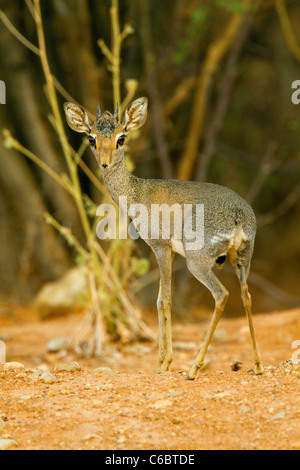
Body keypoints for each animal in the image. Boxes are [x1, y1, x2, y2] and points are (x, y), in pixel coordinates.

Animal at [63, 97, 262, 380]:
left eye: (121, 137)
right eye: (91, 138)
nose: (105, 163)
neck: (136, 193)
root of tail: (238, 215)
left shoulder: (159, 247)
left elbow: (165, 300)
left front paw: (165, 363)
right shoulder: (167, 251)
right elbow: (159, 301)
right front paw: (161, 362)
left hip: (198, 262)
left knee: (221, 295)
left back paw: (194, 368)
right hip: (242, 257)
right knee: (246, 296)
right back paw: (257, 365)